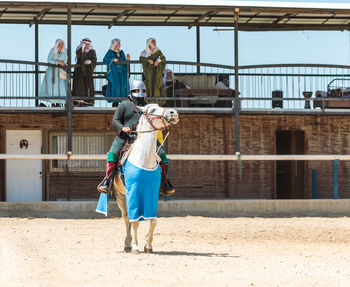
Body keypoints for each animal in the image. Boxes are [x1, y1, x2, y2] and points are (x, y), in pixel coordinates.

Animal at [113, 103, 179, 254]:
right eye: (153, 110)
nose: (173, 113)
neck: (143, 159)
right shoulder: (133, 191)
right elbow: (135, 221)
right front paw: (136, 247)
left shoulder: (152, 193)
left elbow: (153, 220)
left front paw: (148, 245)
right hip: (121, 196)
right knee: (126, 218)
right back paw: (127, 244)